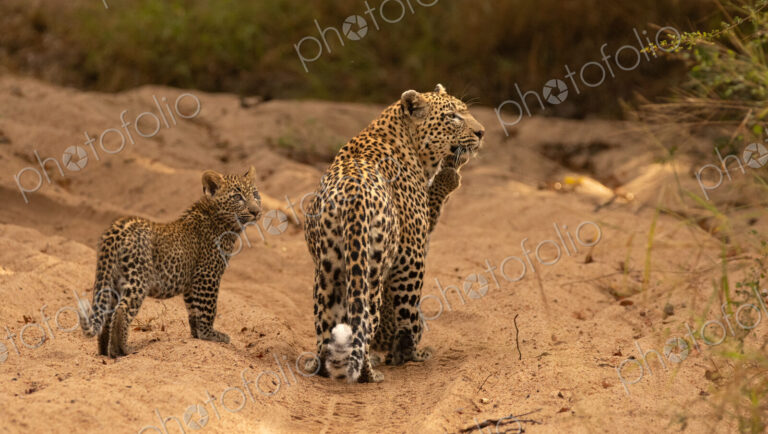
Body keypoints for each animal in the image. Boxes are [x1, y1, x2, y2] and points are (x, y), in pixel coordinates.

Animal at [78, 167, 262, 358]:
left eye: (255, 194)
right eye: (237, 197)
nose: (256, 211)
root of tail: (116, 230)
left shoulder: (191, 282)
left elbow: (193, 311)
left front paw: (197, 336)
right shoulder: (207, 275)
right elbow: (208, 309)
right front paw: (210, 335)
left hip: (111, 278)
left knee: (107, 314)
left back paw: (104, 352)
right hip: (138, 278)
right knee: (122, 311)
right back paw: (122, 352)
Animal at [303, 84, 485, 382]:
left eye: (465, 111)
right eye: (453, 117)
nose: (482, 132)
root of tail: (354, 200)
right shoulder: (411, 252)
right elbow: (407, 316)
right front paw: (409, 354)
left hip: (328, 272)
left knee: (326, 325)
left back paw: (323, 367)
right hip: (373, 273)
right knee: (366, 323)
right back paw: (371, 373)